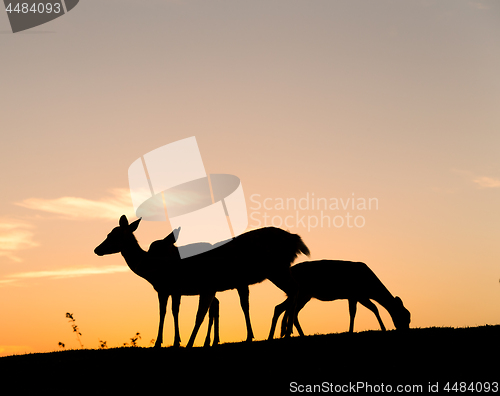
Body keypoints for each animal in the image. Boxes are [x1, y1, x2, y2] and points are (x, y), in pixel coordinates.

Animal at [92, 215, 306, 348]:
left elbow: (171, 313)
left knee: (294, 290)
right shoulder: (177, 289)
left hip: (276, 269)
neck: (151, 268)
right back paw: (282, 332)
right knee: (292, 291)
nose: (96, 249)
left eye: (113, 235)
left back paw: (286, 331)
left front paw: (170, 342)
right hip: (275, 271)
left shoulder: (168, 288)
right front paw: (176, 341)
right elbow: (175, 312)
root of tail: (296, 240)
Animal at [268, 258, 412, 338]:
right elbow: (356, 312)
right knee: (281, 308)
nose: (406, 330)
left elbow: (372, 308)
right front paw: (352, 331)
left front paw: (382, 328)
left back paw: (299, 334)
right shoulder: (356, 294)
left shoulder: (359, 296)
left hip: (304, 295)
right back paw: (273, 336)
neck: (370, 287)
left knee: (290, 311)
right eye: (405, 316)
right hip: (300, 293)